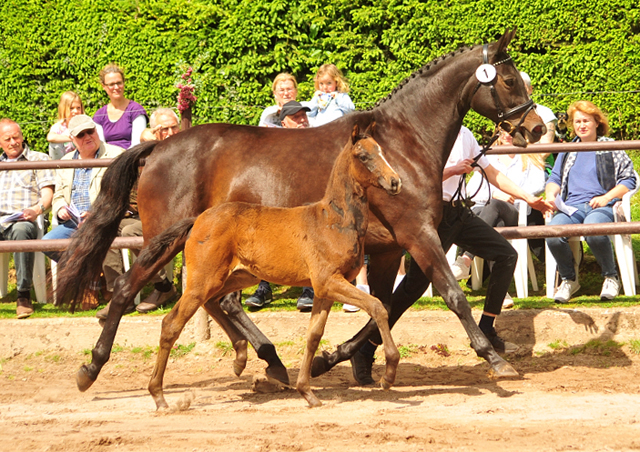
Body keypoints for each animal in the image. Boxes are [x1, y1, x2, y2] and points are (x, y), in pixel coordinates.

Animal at [148, 124, 402, 410]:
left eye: (381, 150)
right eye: (363, 156)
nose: (395, 182)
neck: (335, 221)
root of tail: (197, 221)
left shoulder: (324, 289)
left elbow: (313, 335)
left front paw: (307, 392)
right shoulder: (329, 281)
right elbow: (377, 307)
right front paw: (389, 374)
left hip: (237, 277)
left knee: (214, 302)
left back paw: (240, 357)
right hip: (204, 279)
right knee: (172, 323)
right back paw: (159, 396)